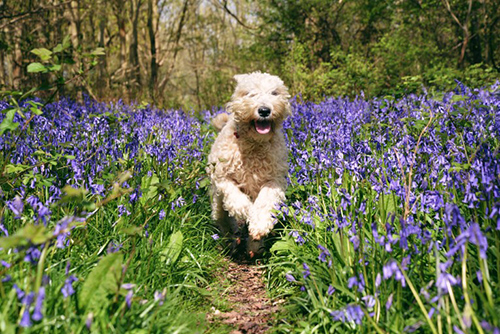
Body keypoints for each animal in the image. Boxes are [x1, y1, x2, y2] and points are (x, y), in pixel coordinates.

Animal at [207, 72, 292, 258]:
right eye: (250, 93)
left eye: (274, 93)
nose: (264, 110)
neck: (254, 145)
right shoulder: (223, 177)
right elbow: (236, 198)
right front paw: (246, 211)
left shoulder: (273, 181)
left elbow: (265, 203)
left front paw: (258, 225)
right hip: (217, 204)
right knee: (224, 221)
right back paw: (231, 241)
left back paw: (253, 247)